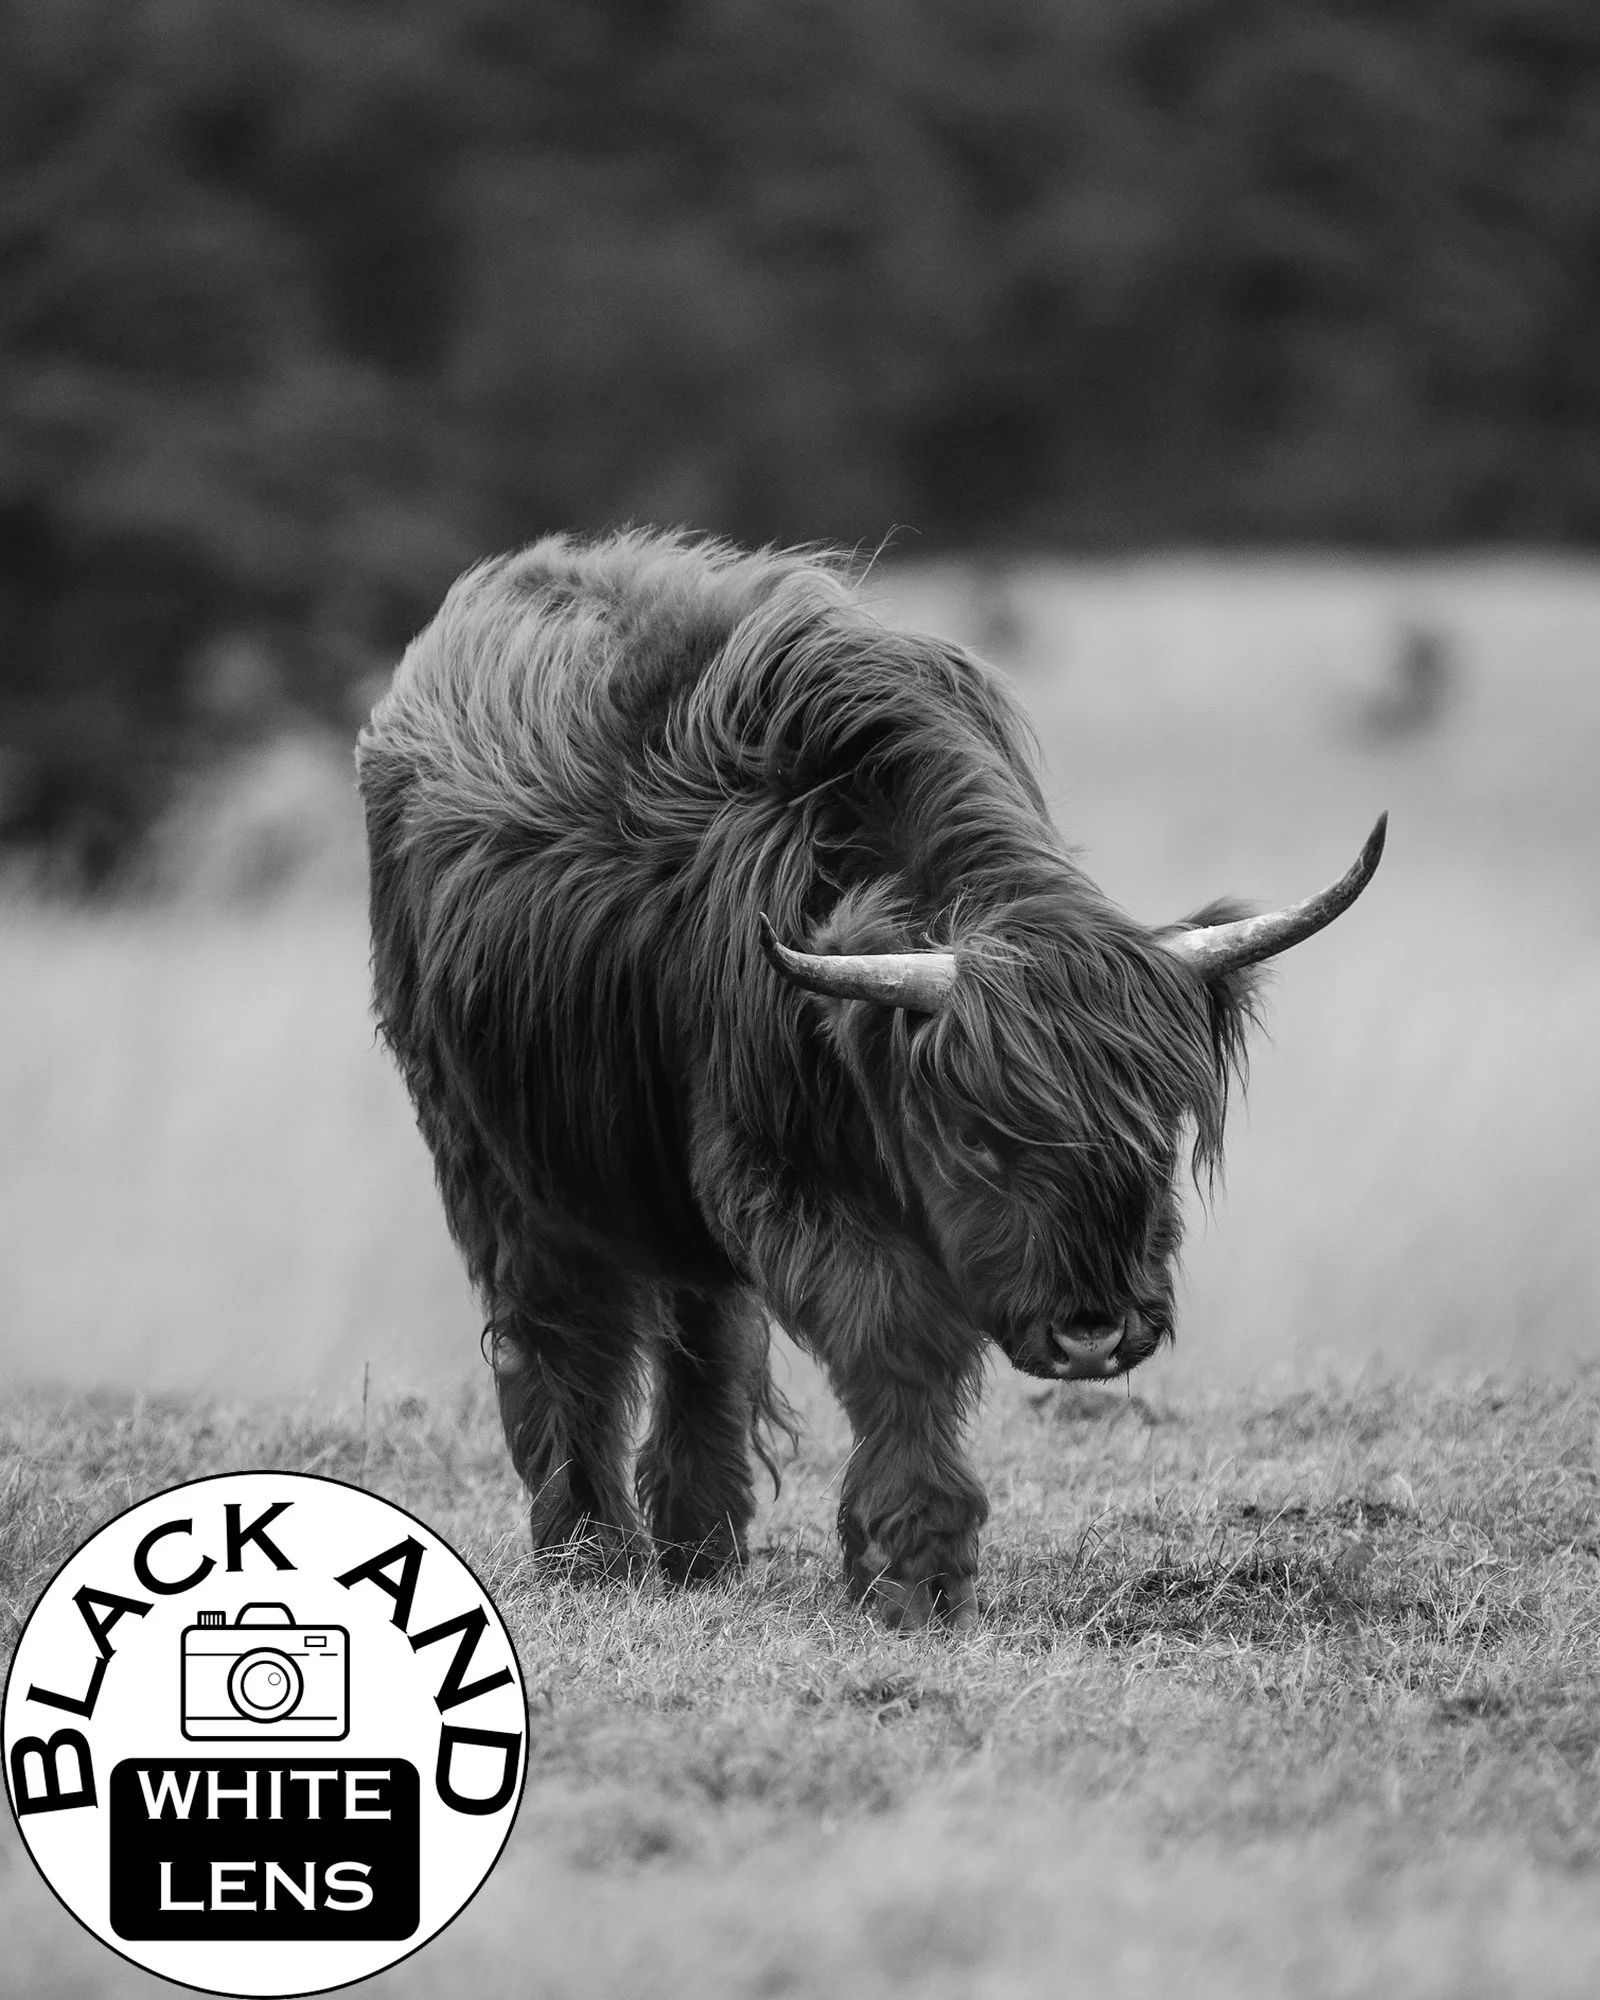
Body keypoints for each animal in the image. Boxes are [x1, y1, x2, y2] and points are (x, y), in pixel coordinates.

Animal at [356, 530, 1384, 1631]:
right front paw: (915, 1566)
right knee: (561, 1330)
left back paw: (699, 1543)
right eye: (979, 1137)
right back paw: (591, 1550)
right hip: (496, 1156)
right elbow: (894, 1336)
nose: (1093, 1333)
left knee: (701, 1328)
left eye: (1159, 1125)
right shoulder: (776, 1169)